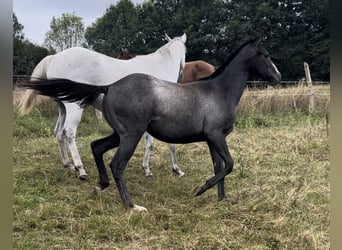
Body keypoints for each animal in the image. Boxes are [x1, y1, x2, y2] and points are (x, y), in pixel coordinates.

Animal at [18, 34, 187, 180]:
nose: (183, 72)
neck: (159, 67)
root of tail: (54, 57)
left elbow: (151, 143)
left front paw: (148, 169)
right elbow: (165, 144)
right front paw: (175, 169)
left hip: (63, 108)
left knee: (59, 132)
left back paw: (68, 164)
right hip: (74, 107)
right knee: (69, 132)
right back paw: (80, 169)